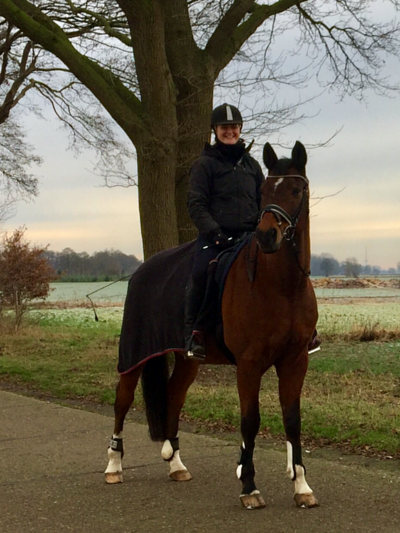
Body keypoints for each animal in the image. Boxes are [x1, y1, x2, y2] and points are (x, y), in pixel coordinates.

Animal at [104, 140, 318, 508]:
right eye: (265, 191)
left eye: (295, 189)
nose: (266, 236)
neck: (282, 286)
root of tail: (142, 270)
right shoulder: (249, 364)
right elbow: (250, 421)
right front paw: (249, 486)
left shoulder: (295, 361)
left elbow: (292, 420)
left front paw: (301, 486)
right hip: (134, 355)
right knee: (122, 401)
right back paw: (114, 466)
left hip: (187, 359)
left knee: (174, 396)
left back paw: (176, 464)